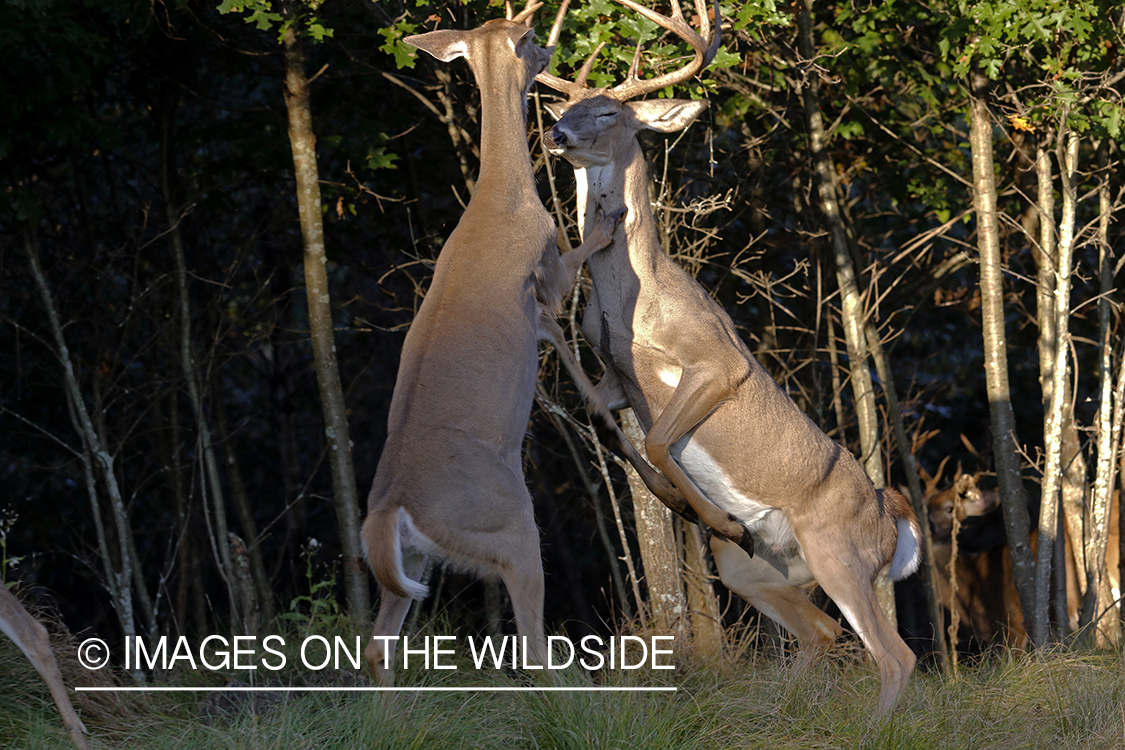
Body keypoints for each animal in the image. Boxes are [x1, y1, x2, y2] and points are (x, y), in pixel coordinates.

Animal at [540, 0, 918, 715]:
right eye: (568, 106)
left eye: (610, 114)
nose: (555, 133)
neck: (630, 305)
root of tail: (894, 517)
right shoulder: (613, 378)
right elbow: (609, 422)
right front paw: (693, 506)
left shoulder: (716, 363)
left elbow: (658, 440)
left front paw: (709, 510)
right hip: (759, 572)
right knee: (822, 631)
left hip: (840, 552)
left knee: (897, 656)